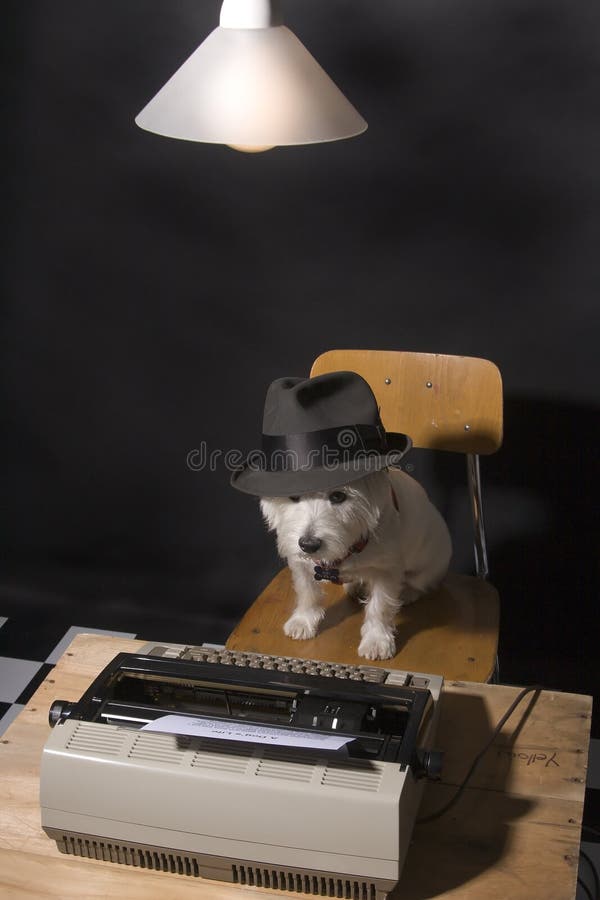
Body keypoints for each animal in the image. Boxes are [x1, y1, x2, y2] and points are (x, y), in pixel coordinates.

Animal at [260, 472, 452, 660]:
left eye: (338, 496)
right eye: (293, 496)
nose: (308, 545)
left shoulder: (386, 570)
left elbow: (380, 606)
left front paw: (376, 640)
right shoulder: (299, 561)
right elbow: (307, 591)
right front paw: (303, 620)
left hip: (431, 562)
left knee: (421, 582)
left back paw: (407, 592)